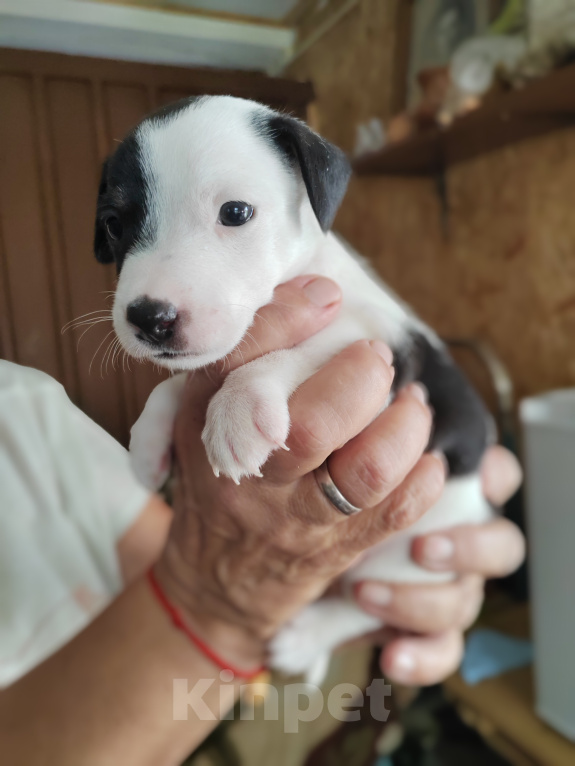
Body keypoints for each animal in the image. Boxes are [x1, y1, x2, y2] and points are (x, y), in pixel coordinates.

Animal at [97, 97, 492, 684]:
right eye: (114, 223)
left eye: (236, 212)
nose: (149, 318)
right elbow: (180, 380)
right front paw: (148, 438)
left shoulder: (376, 341)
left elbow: (296, 350)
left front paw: (238, 405)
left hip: (415, 556)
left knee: (366, 602)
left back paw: (307, 638)